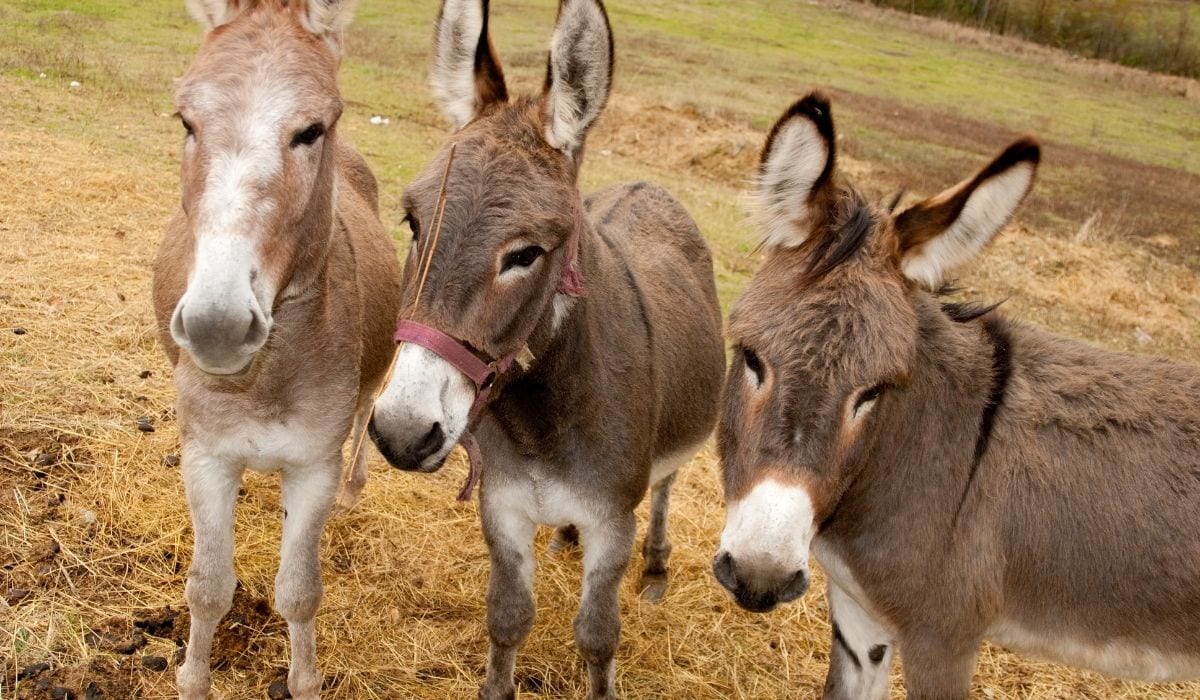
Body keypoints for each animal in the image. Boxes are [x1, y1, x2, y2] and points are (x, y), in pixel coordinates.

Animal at [151, 1, 400, 696]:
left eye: (312, 130)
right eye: (187, 121)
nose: (217, 325)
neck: (263, 378)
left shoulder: (312, 467)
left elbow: (299, 593)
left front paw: (304, 680)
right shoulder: (206, 457)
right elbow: (208, 588)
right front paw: (193, 680)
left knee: (367, 413)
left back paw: (356, 489)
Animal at [367, 1, 725, 697]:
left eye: (526, 254)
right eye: (413, 222)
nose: (400, 433)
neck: (542, 424)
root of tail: (649, 184)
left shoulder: (614, 522)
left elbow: (597, 636)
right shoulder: (502, 506)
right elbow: (507, 618)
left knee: (667, 489)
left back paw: (657, 571)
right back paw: (562, 538)